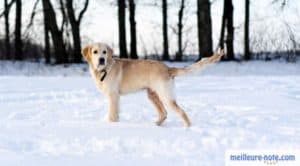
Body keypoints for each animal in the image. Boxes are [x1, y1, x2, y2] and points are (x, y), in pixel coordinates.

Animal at [81, 42, 223, 127]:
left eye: (104, 52)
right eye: (95, 52)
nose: (101, 59)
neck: (104, 69)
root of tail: (168, 68)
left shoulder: (113, 96)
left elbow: (112, 114)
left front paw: (110, 124)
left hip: (166, 96)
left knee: (181, 112)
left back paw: (188, 128)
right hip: (153, 95)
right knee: (164, 113)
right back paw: (155, 125)